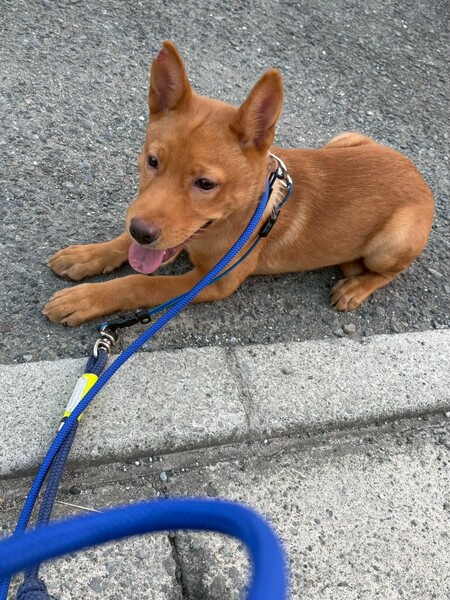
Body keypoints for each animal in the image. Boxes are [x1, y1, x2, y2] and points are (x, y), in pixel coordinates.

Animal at [43, 41, 434, 326]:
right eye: (152, 162)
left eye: (205, 184)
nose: (142, 231)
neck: (243, 213)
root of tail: (418, 176)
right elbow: (128, 244)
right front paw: (87, 254)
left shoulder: (211, 281)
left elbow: (140, 281)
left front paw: (88, 298)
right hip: (345, 138)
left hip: (392, 242)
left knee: (390, 271)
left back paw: (356, 286)